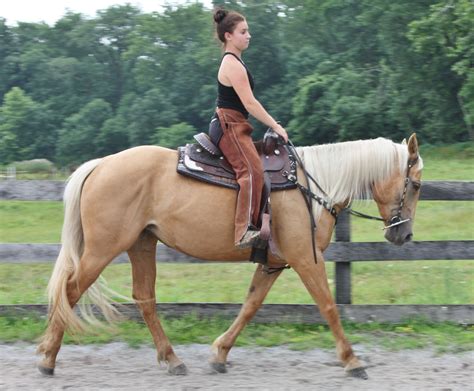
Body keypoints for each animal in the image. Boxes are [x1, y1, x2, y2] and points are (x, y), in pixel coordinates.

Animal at [37, 132, 422, 380]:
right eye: (416, 184)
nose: (403, 234)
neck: (312, 187)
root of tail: (100, 165)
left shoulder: (272, 264)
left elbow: (250, 305)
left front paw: (220, 354)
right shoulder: (306, 259)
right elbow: (328, 306)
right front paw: (353, 361)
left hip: (141, 244)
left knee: (144, 298)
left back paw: (173, 360)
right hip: (102, 250)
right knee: (69, 292)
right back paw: (48, 359)